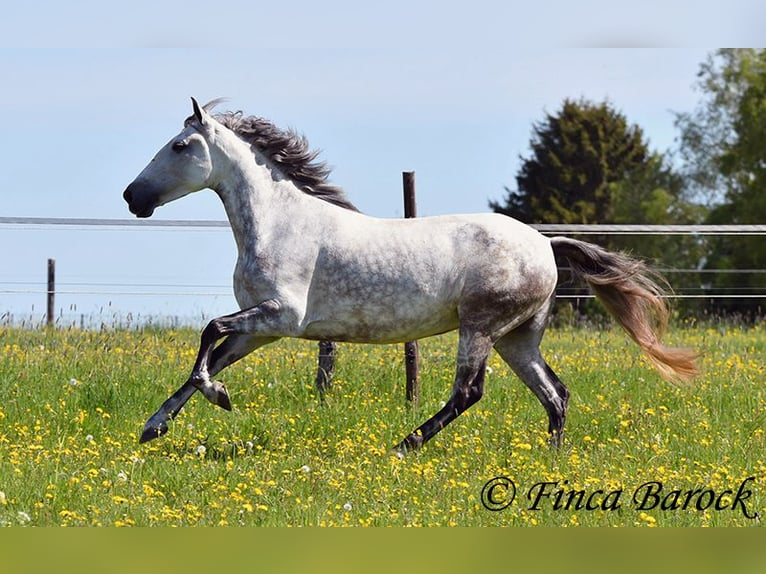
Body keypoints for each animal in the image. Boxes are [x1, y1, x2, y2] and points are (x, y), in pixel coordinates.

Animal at [123, 98, 699, 453]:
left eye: (179, 146)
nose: (132, 196)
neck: (280, 223)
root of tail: (544, 243)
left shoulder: (280, 316)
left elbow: (209, 334)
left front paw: (217, 398)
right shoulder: (261, 328)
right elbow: (208, 357)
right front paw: (155, 427)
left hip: (480, 327)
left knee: (469, 393)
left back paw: (405, 445)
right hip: (517, 338)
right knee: (555, 393)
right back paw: (552, 460)